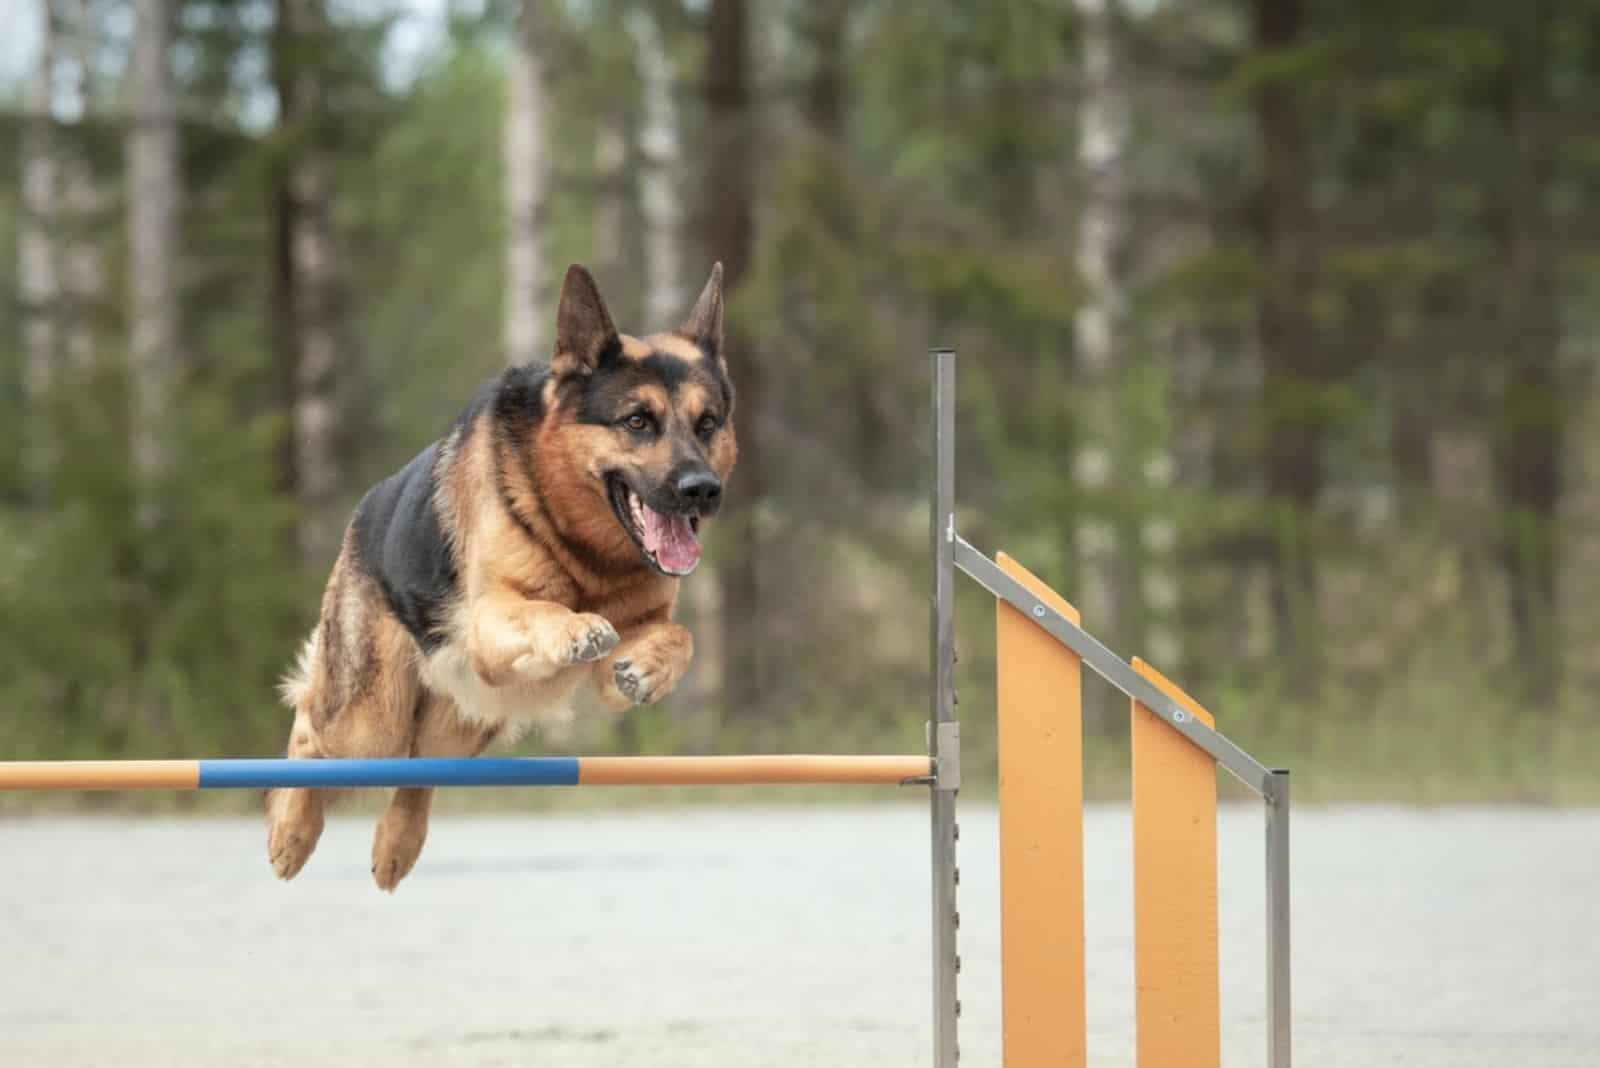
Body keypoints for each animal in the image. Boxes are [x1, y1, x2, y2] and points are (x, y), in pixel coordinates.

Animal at [267, 262, 736, 888]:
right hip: (370, 724)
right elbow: (543, 611)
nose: (702, 490)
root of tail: (361, 514)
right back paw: (290, 833)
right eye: (638, 421)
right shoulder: (488, 626)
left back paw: (397, 845)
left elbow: (677, 636)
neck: (590, 554)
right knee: (309, 731)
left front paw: (648, 670)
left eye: (707, 424)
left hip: (463, 723)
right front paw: (574, 629)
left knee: (419, 773)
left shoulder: (614, 661)